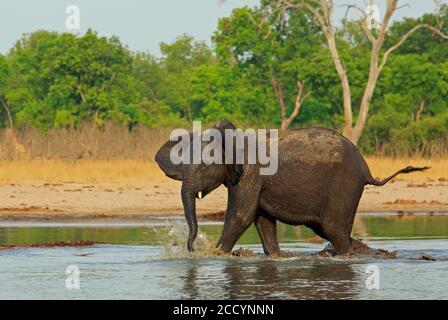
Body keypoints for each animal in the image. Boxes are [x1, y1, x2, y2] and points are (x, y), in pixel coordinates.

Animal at [156, 119, 428, 256]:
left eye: (204, 166)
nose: (190, 247)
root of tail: (366, 169)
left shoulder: (250, 174)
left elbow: (240, 216)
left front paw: (216, 254)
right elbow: (262, 220)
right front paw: (275, 257)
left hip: (345, 185)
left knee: (333, 228)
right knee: (326, 229)